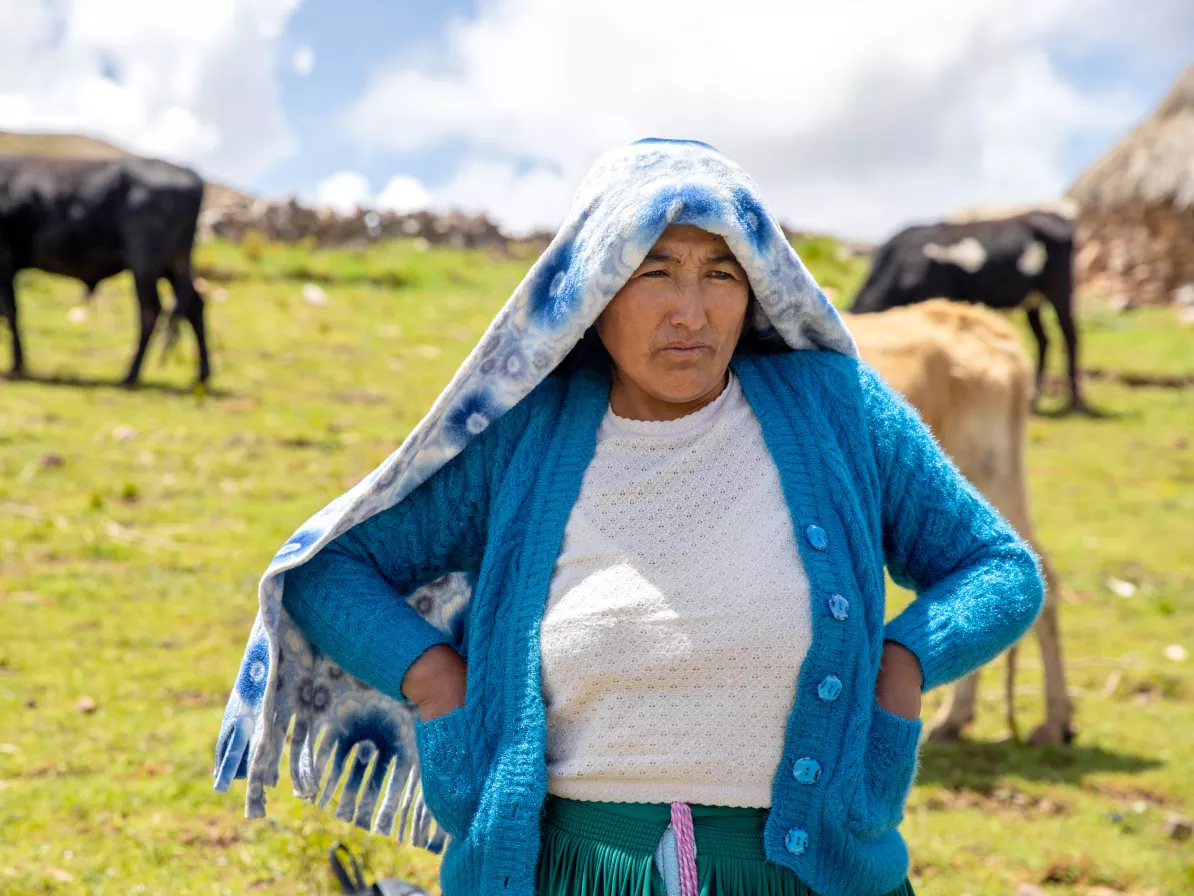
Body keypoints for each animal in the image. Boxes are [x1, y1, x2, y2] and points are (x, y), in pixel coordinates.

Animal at [0, 154, 210, 387]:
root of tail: (189, 174)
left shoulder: (4, 258)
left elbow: (10, 310)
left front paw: (17, 365)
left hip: (145, 260)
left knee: (150, 309)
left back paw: (130, 375)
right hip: (173, 263)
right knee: (194, 305)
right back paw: (201, 375)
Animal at [845, 210, 1088, 410]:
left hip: (1060, 288)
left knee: (1070, 334)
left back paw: (1075, 402)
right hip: (1032, 300)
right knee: (1043, 339)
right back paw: (1034, 397)